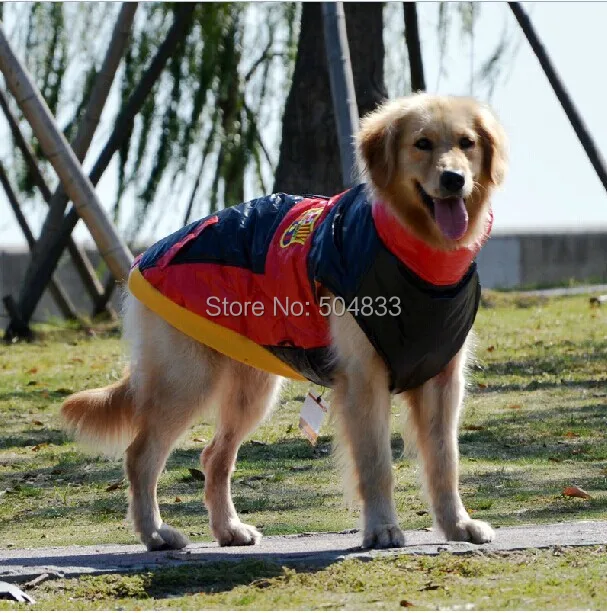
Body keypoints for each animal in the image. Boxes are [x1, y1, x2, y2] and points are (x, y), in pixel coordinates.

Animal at [63, 94, 508, 548]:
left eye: (467, 143)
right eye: (422, 143)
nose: (454, 179)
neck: (420, 261)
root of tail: (147, 255)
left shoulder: (443, 378)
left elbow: (445, 460)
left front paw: (457, 525)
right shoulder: (364, 379)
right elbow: (376, 464)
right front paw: (382, 528)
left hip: (251, 392)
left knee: (213, 456)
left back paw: (229, 529)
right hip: (186, 381)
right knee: (141, 455)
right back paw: (155, 532)